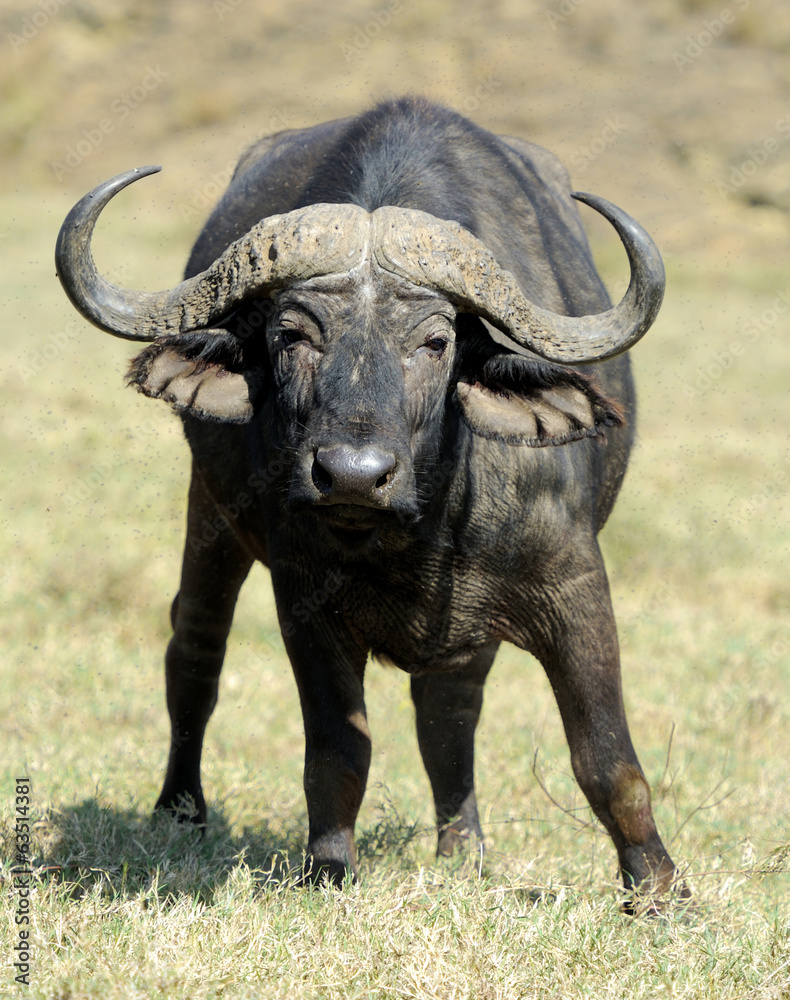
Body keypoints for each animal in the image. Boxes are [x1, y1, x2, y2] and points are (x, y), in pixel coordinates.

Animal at [56, 96, 677, 901]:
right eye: (291, 335)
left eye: (436, 342)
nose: (352, 474)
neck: (415, 524)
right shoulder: (305, 602)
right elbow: (337, 751)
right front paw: (327, 869)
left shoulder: (572, 583)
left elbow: (606, 757)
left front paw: (660, 890)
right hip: (210, 517)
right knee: (195, 649)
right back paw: (178, 812)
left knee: (450, 708)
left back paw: (463, 847)